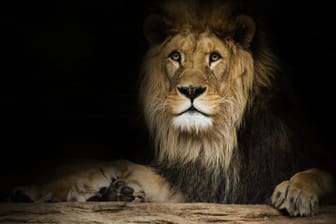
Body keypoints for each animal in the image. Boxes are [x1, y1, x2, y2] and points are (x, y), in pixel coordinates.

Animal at [9, 0, 334, 217]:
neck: (214, 143)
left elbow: (319, 173)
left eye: (214, 57)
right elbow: (124, 166)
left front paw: (296, 191)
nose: (190, 91)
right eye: (175, 56)